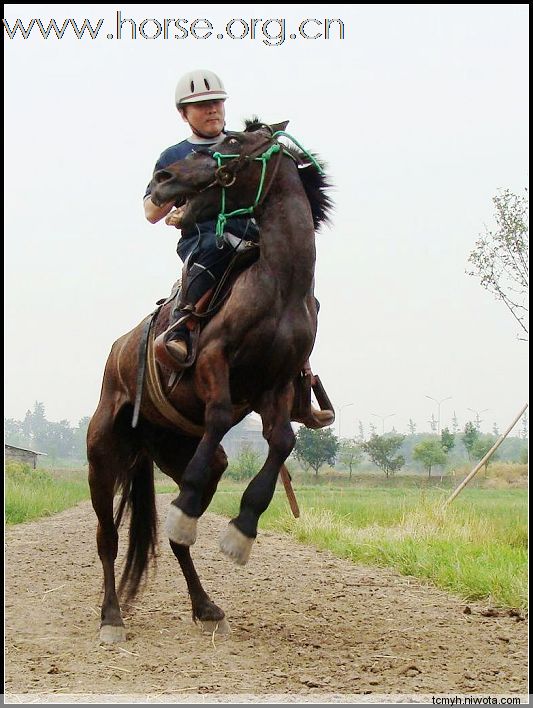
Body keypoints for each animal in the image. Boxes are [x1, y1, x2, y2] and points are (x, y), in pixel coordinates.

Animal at [85, 120, 330, 640]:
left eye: (233, 142)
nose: (162, 178)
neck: (281, 283)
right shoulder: (214, 360)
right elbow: (218, 415)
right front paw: (189, 506)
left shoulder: (277, 385)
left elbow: (282, 441)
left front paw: (242, 531)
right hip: (102, 459)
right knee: (107, 538)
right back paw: (112, 616)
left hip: (179, 452)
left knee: (178, 537)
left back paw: (204, 603)